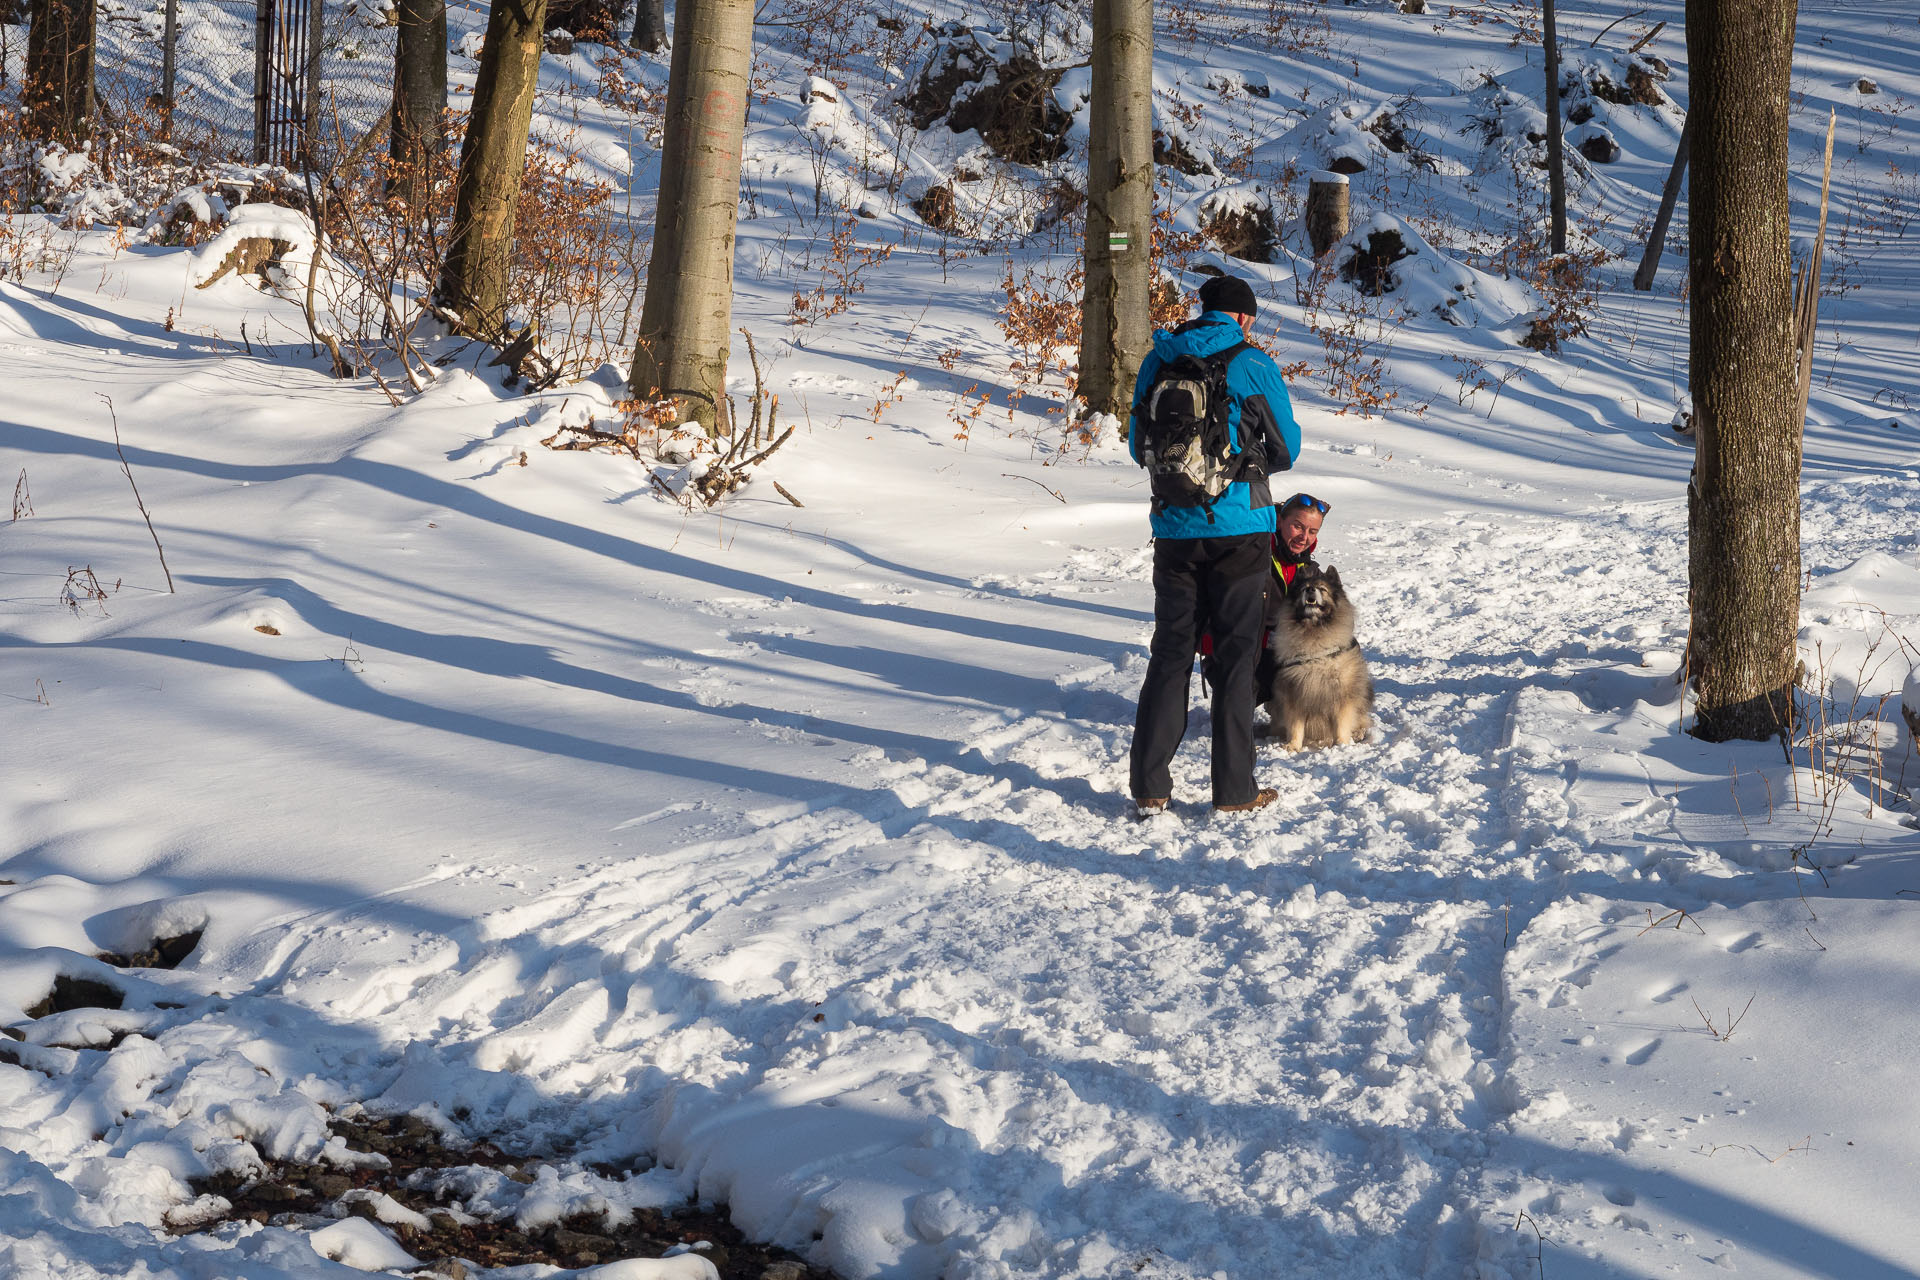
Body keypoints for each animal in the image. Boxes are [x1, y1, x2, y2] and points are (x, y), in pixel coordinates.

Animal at [1267, 564, 1374, 752]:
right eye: (1304, 588)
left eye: (1322, 589)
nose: (1310, 589)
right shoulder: (1295, 693)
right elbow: (1295, 726)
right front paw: (1293, 746)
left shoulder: (1342, 694)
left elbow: (1342, 723)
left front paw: (1342, 743)